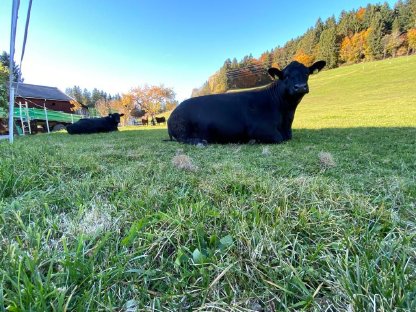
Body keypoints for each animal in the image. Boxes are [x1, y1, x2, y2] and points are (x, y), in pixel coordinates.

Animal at [167, 61, 326, 145]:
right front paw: (252, 141)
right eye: (285, 76)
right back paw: (200, 142)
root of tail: (173, 113)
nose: (300, 87)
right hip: (182, 129)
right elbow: (278, 138)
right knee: (183, 139)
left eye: (306, 73)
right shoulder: (261, 129)